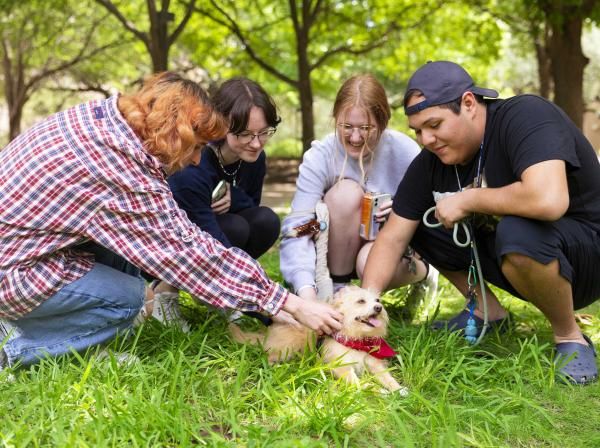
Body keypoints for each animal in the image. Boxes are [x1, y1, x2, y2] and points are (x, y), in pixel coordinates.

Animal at [230, 286, 408, 394]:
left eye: (378, 301)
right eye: (361, 301)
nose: (379, 308)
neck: (356, 339)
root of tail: (269, 331)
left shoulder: (374, 364)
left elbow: (388, 378)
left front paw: (399, 389)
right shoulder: (342, 368)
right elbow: (361, 383)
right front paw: (376, 390)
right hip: (288, 347)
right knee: (269, 356)